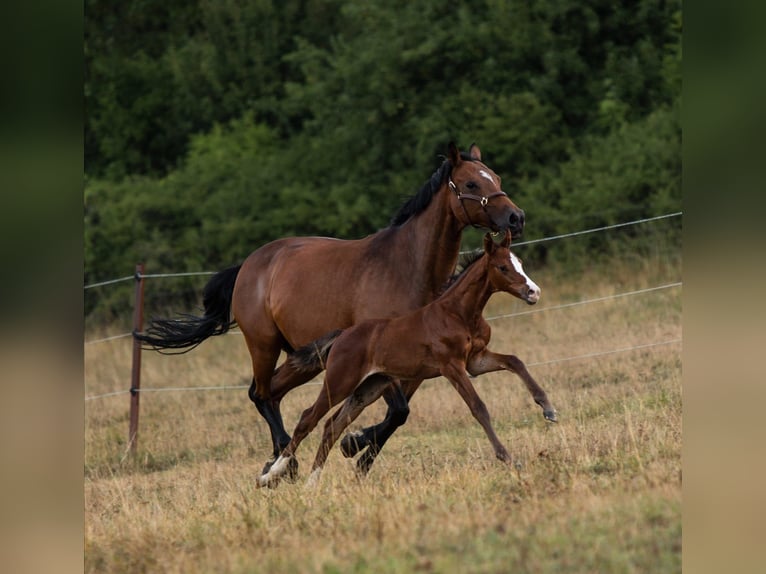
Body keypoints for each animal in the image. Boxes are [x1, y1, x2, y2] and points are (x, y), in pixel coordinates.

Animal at [138, 144, 532, 476]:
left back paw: (277, 461)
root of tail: (249, 265)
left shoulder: (419, 363)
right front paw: (353, 446)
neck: (407, 267)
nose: (516, 218)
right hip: (264, 346)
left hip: (306, 359)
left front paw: (356, 449)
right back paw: (284, 464)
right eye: (470, 182)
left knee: (270, 393)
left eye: (496, 178)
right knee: (262, 393)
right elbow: (397, 410)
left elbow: (396, 415)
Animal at [260, 231, 560, 490]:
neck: (458, 313)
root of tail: (343, 334)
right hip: (340, 381)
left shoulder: (475, 360)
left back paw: (312, 482)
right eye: (503, 267)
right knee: (308, 418)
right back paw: (271, 475)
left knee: (332, 426)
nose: (534, 292)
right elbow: (478, 407)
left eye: (520, 263)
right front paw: (508, 458)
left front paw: (548, 409)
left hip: (368, 388)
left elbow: (515, 361)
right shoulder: (451, 367)